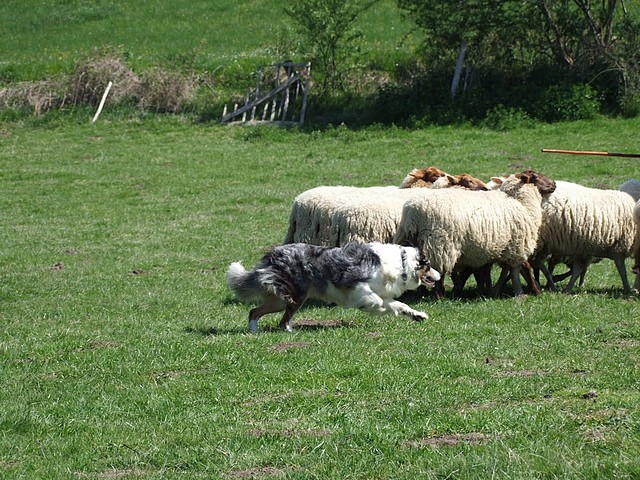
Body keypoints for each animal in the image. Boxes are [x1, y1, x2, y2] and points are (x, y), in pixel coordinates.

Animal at [225, 242, 440, 332]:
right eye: (429, 265)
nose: (438, 276)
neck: (401, 263)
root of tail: (271, 255)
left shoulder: (382, 291)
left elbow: (400, 305)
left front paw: (418, 315)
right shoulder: (354, 284)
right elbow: (376, 300)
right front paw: (373, 308)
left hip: (281, 299)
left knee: (255, 311)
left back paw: (255, 331)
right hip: (294, 296)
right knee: (277, 318)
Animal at [392, 169, 556, 296]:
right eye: (535, 176)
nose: (554, 184)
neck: (520, 202)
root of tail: (413, 213)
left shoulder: (502, 249)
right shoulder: (517, 245)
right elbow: (523, 267)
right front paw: (534, 291)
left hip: (410, 240)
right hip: (440, 244)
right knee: (436, 269)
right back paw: (439, 296)